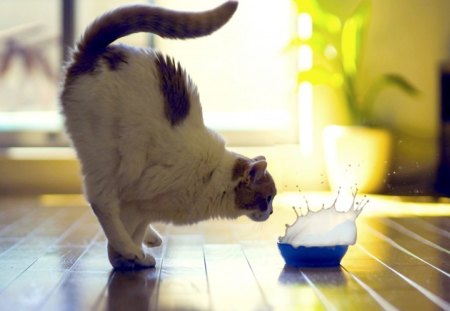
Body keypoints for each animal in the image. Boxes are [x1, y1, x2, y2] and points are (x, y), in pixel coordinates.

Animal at [60, 0, 276, 270]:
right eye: (268, 198)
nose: (272, 212)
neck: (212, 176)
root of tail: (91, 52)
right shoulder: (134, 197)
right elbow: (122, 230)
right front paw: (128, 256)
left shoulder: (143, 208)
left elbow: (136, 228)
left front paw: (130, 255)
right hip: (107, 158)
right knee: (101, 203)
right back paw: (133, 251)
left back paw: (149, 241)